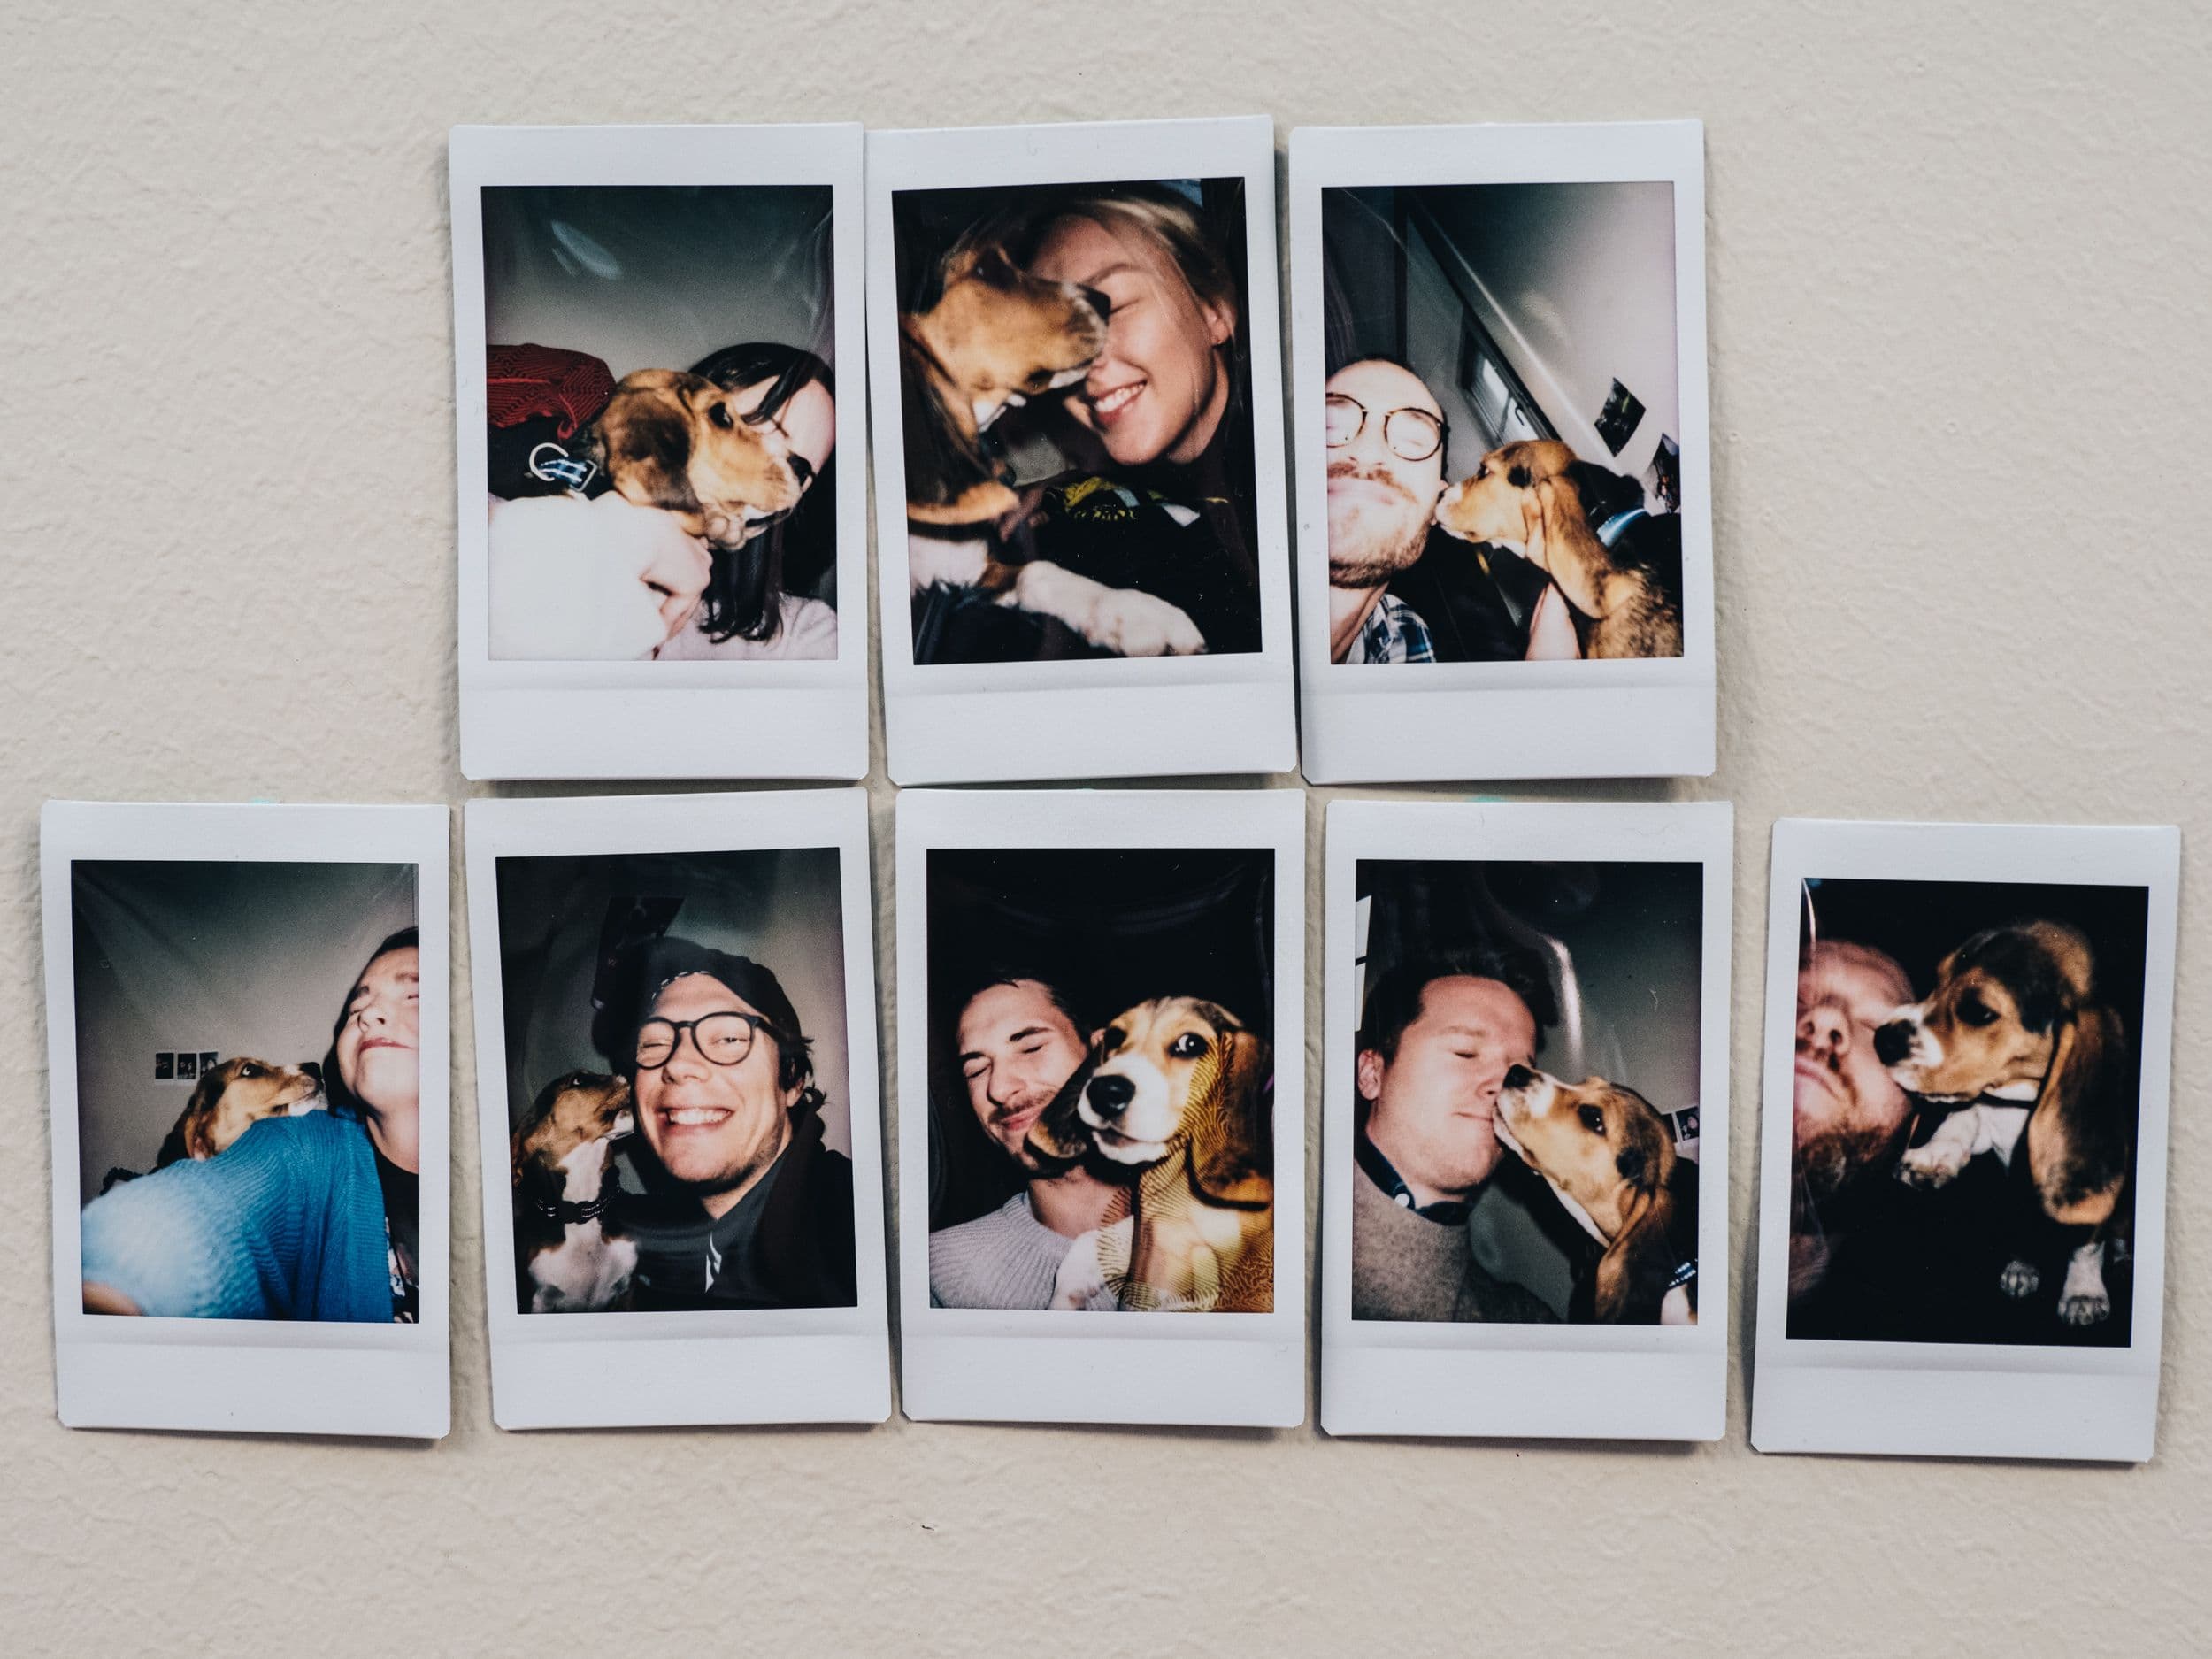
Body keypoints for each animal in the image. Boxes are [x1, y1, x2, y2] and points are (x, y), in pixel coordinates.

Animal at [1873, 921, 2133, 1325]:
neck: (2018, 1100)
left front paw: (2083, 1292)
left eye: (1979, 1012)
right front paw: (1934, 1155)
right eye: (1937, 980)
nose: (1881, 1040)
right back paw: (2021, 1264)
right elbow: (1965, 1116)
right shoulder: (1988, 1117)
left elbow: (2086, 1240)